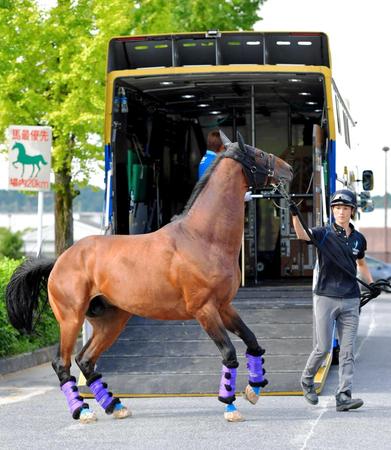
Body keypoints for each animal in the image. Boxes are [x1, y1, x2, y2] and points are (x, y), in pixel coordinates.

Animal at [5, 132, 294, 424]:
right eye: (258, 154)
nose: (288, 169)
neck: (203, 238)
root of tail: (59, 261)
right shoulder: (205, 310)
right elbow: (229, 353)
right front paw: (230, 405)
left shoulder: (224, 306)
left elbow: (252, 341)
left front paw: (253, 389)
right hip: (71, 320)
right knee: (62, 363)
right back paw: (82, 410)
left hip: (112, 321)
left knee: (85, 360)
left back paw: (115, 406)